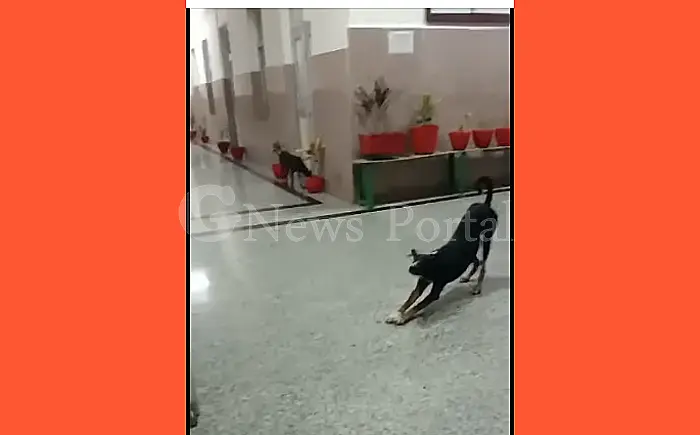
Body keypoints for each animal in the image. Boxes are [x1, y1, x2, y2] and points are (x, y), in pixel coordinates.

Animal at [385, 176, 498, 325]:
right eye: (414, 261)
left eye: (418, 266)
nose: (410, 268)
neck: (433, 262)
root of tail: (485, 205)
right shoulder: (421, 283)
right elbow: (410, 300)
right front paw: (397, 313)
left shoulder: (434, 292)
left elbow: (417, 305)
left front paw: (403, 317)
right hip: (470, 253)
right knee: (476, 261)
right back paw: (467, 277)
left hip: (486, 241)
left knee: (483, 265)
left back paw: (477, 287)